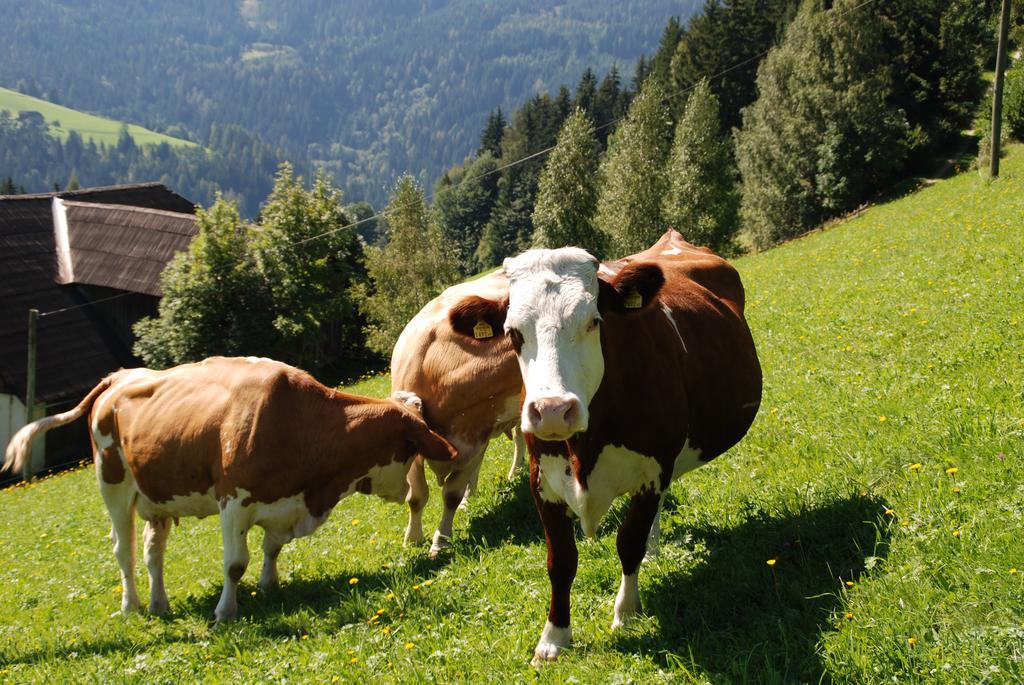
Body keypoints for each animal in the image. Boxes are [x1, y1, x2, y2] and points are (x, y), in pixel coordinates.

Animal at [0, 358, 456, 618]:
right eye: (412, 447)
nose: (404, 492)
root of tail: (119, 377)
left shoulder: (282, 502)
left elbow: (273, 548)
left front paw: (270, 585)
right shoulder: (233, 501)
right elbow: (236, 564)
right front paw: (226, 611)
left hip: (156, 497)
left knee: (152, 552)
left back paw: (159, 604)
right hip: (112, 485)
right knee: (123, 549)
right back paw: (131, 607)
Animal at [450, 231, 761, 663]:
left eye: (594, 321)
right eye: (513, 333)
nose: (552, 410)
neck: (585, 447)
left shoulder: (653, 469)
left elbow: (627, 542)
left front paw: (626, 611)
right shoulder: (541, 482)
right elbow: (560, 560)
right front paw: (554, 637)